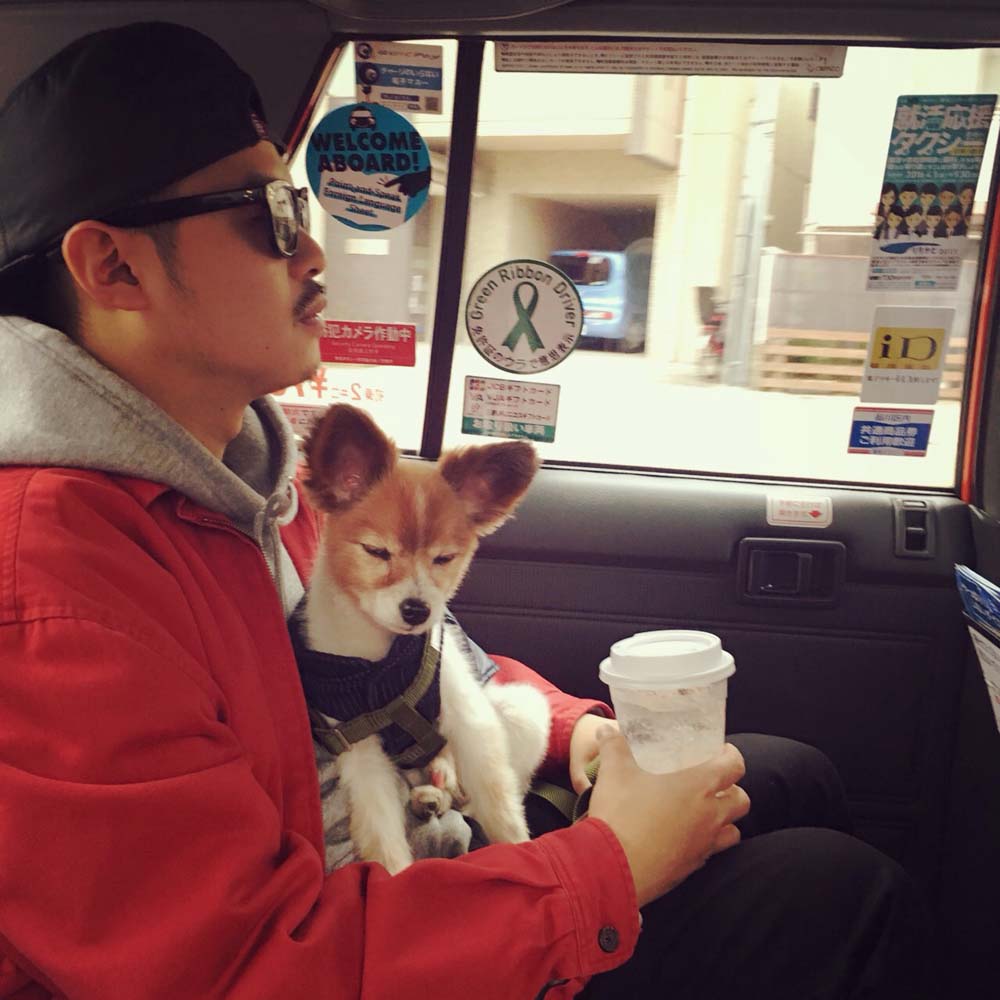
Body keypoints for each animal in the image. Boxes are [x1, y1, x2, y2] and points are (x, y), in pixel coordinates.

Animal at [293, 404, 551, 874]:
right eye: (376, 552)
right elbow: (382, 834)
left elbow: (499, 804)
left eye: (444, 558)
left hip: (519, 709)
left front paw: (521, 851)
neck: (378, 663)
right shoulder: (358, 747)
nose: (417, 610)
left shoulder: (470, 719)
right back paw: (430, 793)